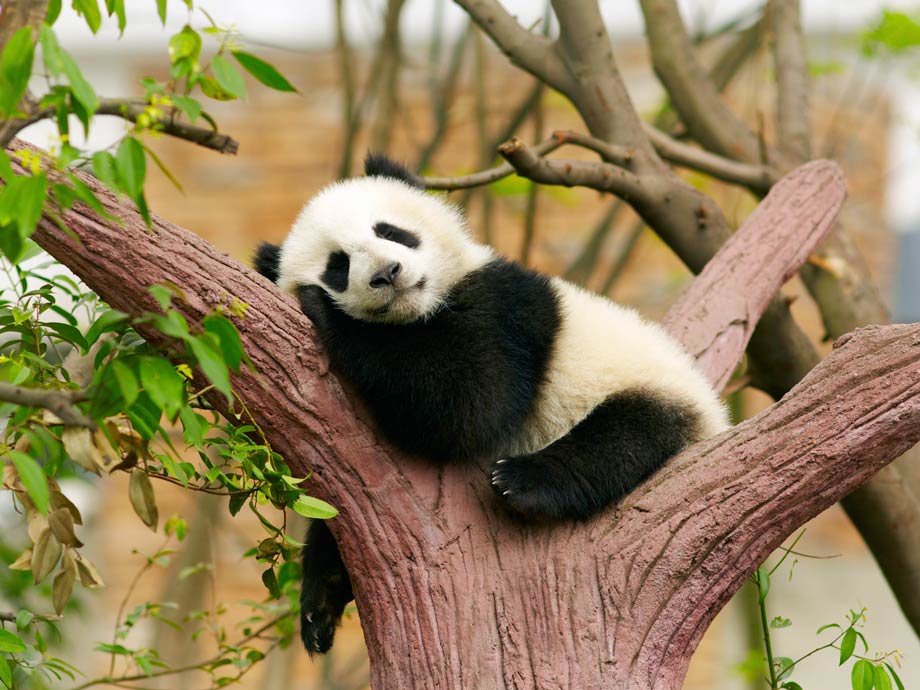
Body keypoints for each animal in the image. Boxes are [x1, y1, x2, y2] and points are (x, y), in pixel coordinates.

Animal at [254, 153, 729, 654]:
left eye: (390, 231)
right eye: (338, 266)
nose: (387, 273)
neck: (419, 312)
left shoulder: (505, 308)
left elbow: (469, 405)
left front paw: (325, 311)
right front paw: (321, 597)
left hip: (650, 386)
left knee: (624, 436)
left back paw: (523, 481)